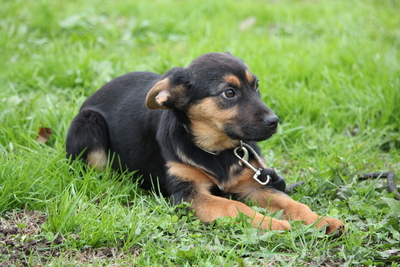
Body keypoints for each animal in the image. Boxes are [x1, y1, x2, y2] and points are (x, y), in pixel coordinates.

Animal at [65, 52, 344, 237]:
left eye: (256, 86)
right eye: (229, 93)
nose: (274, 121)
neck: (216, 149)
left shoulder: (253, 183)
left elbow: (290, 203)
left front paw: (321, 220)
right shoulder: (188, 195)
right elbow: (234, 206)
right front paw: (273, 225)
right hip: (88, 124)